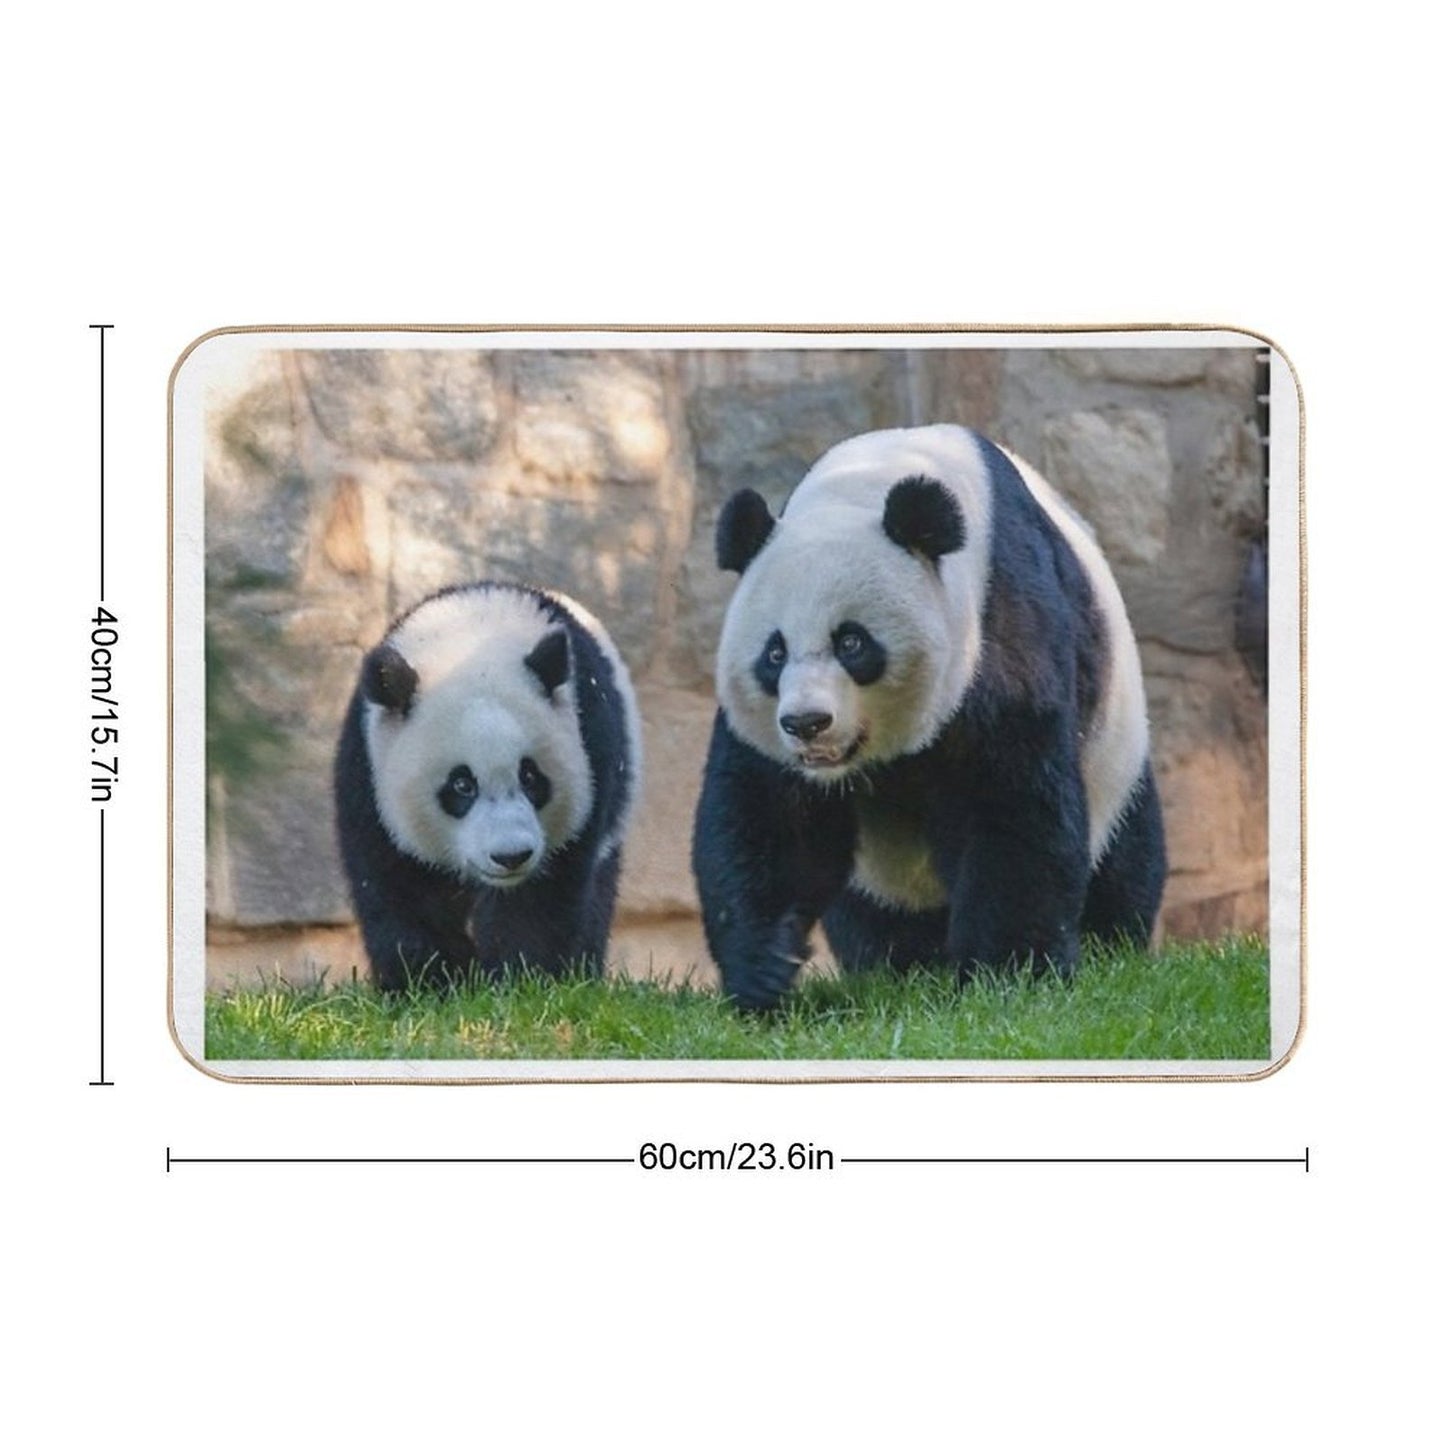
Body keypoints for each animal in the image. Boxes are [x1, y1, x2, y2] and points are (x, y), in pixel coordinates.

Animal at [333, 582, 641, 991]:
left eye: (531, 777)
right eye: (462, 784)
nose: (511, 856)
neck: (473, 634)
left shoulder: (593, 753)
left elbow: (539, 899)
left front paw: (519, 979)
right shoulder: (367, 773)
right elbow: (397, 885)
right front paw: (430, 982)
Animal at [692, 423, 1166, 1012]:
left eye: (852, 643)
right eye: (774, 653)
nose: (807, 723)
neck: (870, 479)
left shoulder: (998, 626)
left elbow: (1011, 807)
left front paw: (1007, 976)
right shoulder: (769, 739)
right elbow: (771, 821)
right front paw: (764, 972)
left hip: (1115, 753)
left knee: (1125, 854)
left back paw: (1110, 942)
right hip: (883, 876)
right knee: (875, 915)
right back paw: (899, 963)